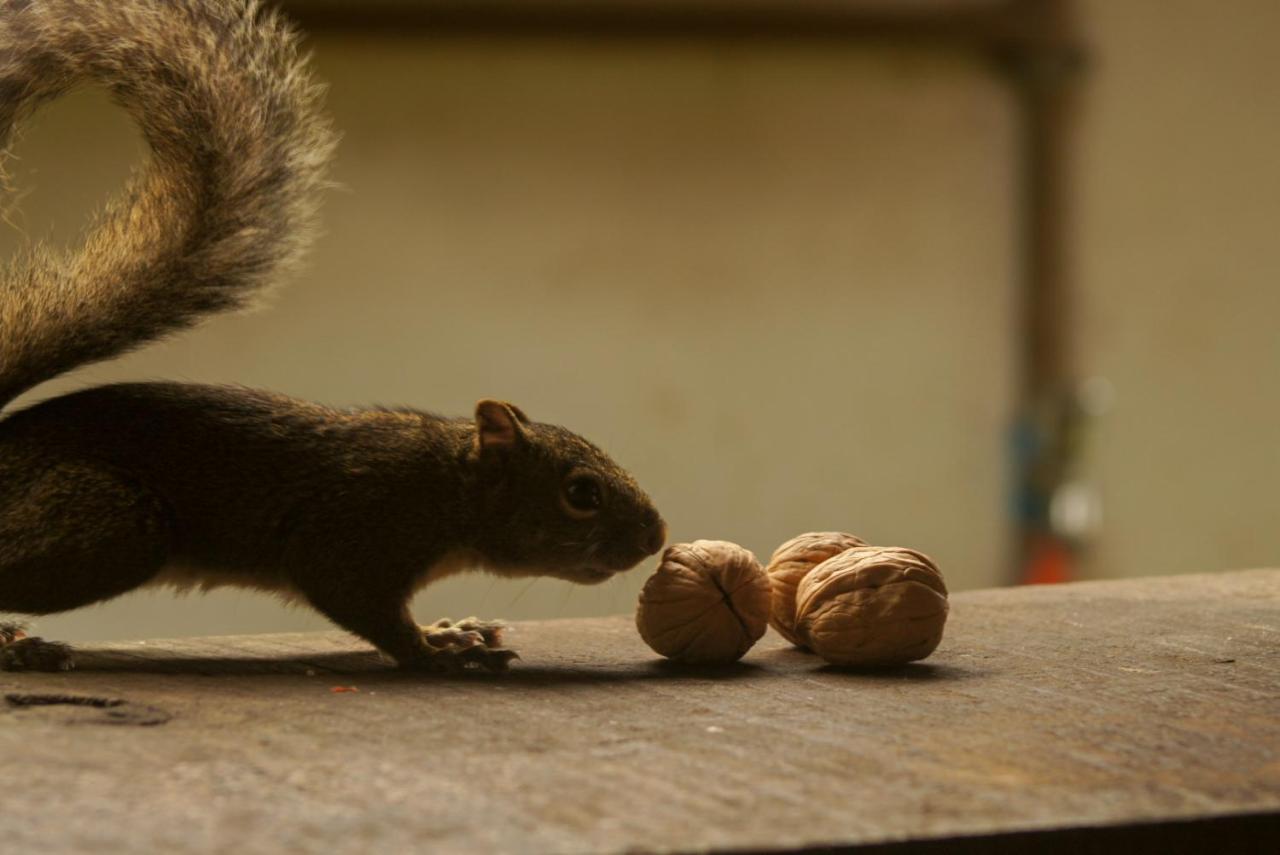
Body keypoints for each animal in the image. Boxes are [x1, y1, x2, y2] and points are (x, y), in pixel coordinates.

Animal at [2, 0, 670, 675]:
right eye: (581, 493)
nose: (656, 537)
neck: (448, 487)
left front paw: (452, 631)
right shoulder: (354, 532)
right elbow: (360, 604)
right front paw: (438, 653)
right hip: (114, 527)